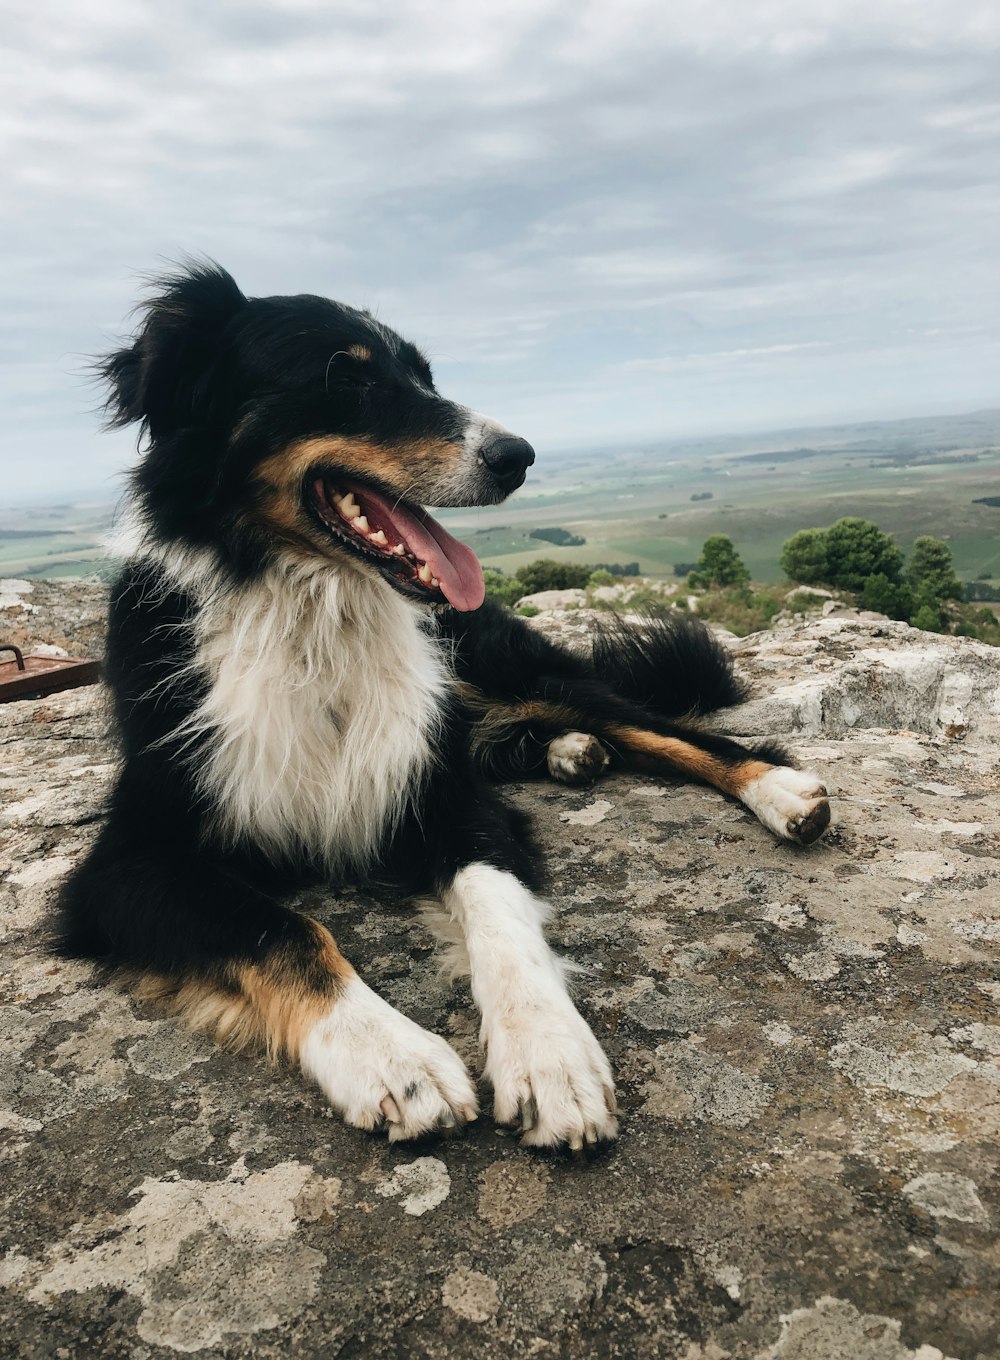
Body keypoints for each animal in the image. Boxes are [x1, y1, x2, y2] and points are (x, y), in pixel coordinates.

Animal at [58, 262, 832, 1147]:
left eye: (426, 375)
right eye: (345, 374)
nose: (519, 455)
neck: (312, 610)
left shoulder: (439, 788)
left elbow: (498, 908)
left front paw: (550, 1055)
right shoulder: (130, 859)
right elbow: (284, 929)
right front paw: (392, 1057)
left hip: (503, 662)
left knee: (654, 725)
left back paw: (778, 792)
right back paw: (572, 753)